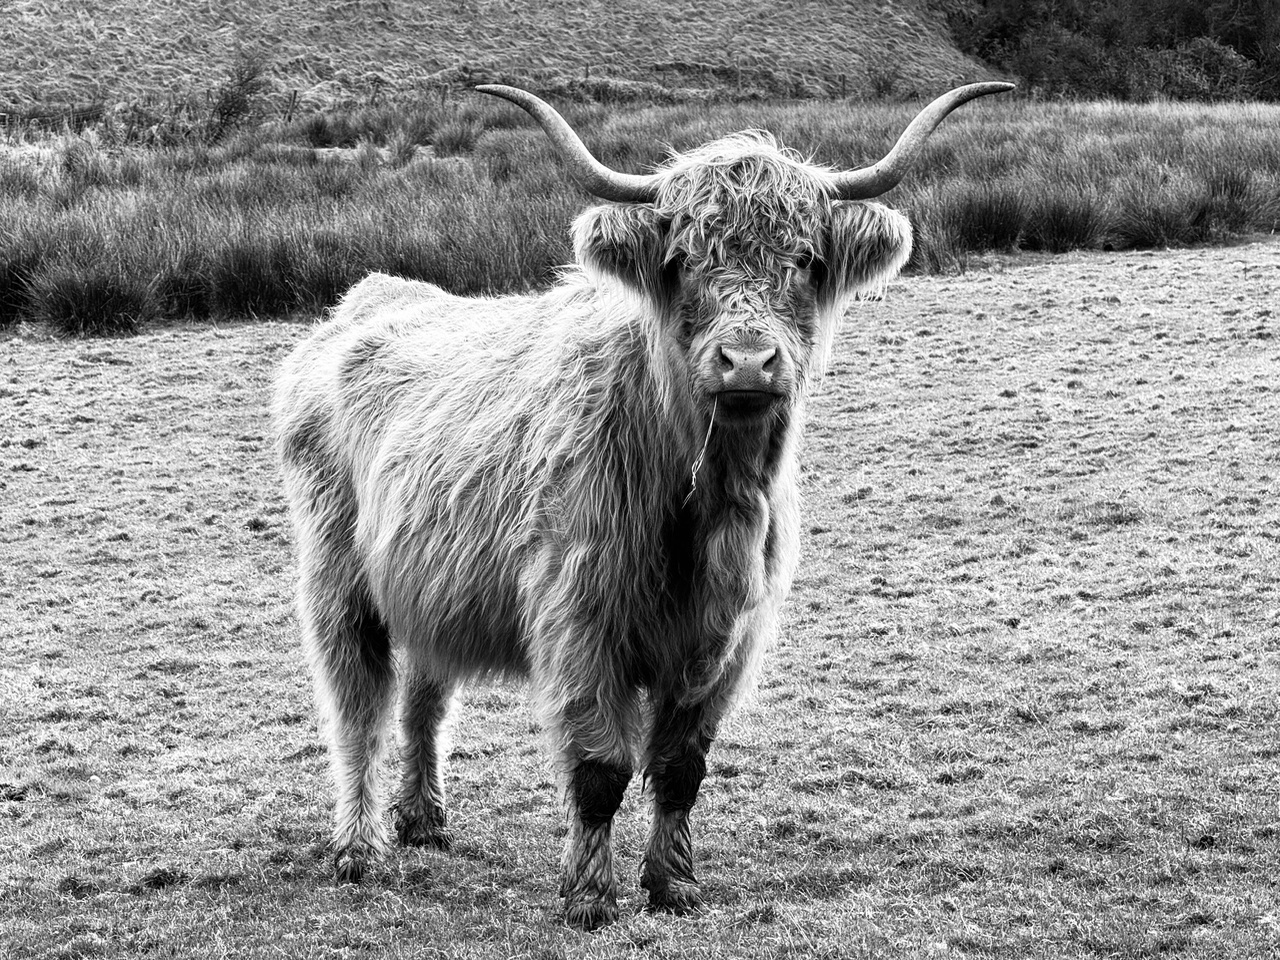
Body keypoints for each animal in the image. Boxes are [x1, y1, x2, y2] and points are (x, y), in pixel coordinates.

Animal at [273, 80, 1012, 930]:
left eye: (804, 259)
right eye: (683, 260)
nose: (747, 362)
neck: (705, 506)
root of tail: (370, 294)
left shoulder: (722, 639)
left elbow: (681, 765)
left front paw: (673, 883)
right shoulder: (580, 620)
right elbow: (600, 769)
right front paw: (590, 896)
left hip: (429, 580)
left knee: (424, 697)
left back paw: (422, 819)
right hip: (338, 578)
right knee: (356, 710)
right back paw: (358, 848)